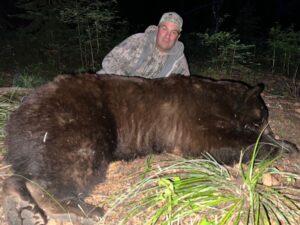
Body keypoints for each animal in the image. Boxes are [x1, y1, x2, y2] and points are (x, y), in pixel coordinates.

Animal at [2, 74, 298, 225]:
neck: (222, 99)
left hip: (36, 139)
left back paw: (21, 207)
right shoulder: (193, 119)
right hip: (77, 120)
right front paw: (284, 146)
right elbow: (214, 141)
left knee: (26, 171)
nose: (269, 128)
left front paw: (284, 143)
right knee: (73, 162)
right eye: (261, 117)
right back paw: (81, 210)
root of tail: (19, 111)